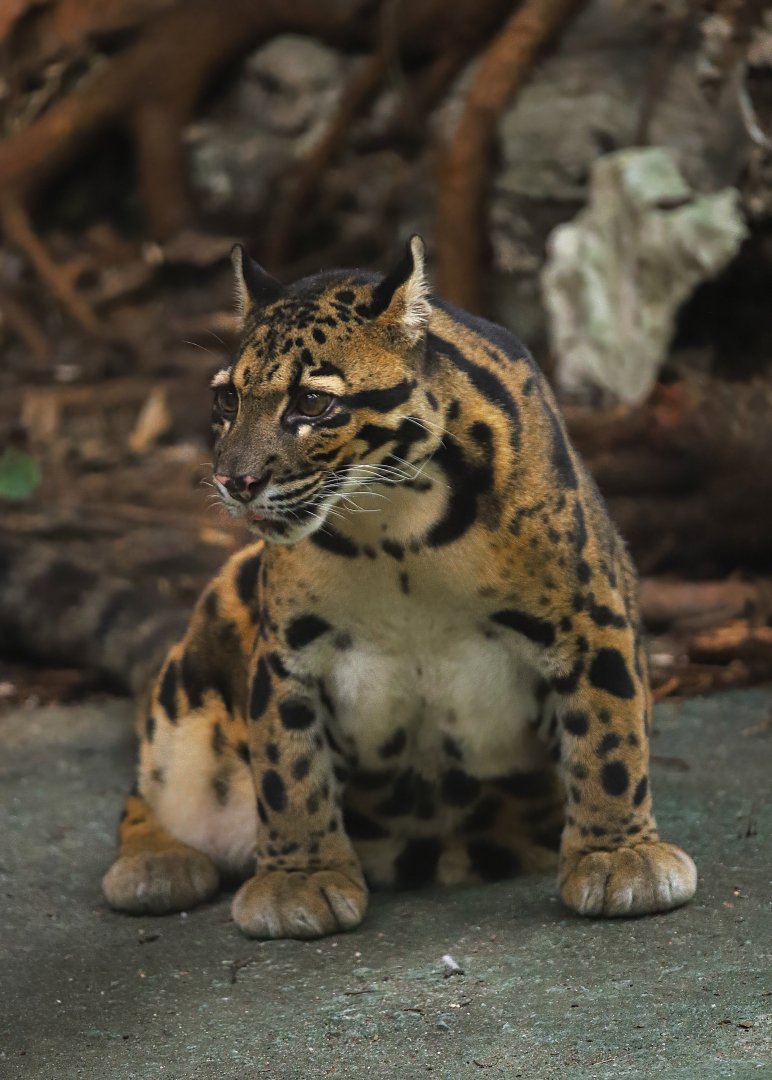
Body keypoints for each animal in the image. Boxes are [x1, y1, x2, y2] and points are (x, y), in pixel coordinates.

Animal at [4, 236, 698, 938]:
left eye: (311, 404)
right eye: (227, 401)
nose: (234, 481)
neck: (398, 525)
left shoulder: (587, 618)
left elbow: (608, 735)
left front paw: (617, 854)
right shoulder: (288, 650)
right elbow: (287, 766)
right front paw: (300, 877)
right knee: (145, 785)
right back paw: (157, 861)